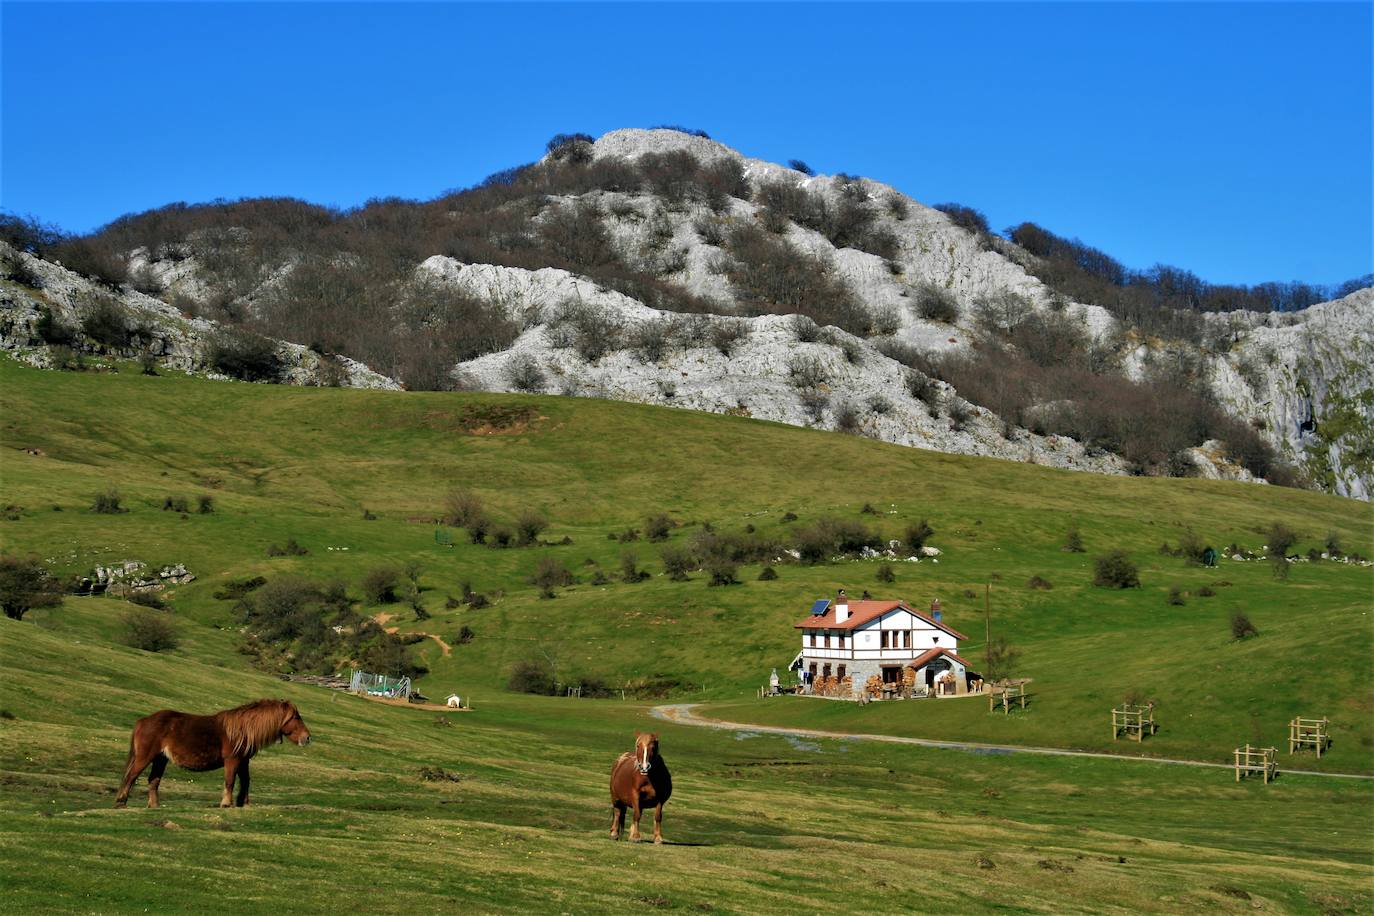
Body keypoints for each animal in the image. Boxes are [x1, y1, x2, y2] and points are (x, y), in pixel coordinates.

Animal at [114, 694, 313, 807]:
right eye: (295, 717)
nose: (307, 737)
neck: (243, 729)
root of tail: (143, 721)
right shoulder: (232, 760)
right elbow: (230, 781)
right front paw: (226, 803)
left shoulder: (243, 761)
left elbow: (245, 781)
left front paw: (243, 803)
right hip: (145, 757)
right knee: (131, 776)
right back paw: (121, 802)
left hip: (160, 759)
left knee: (153, 781)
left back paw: (154, 806)